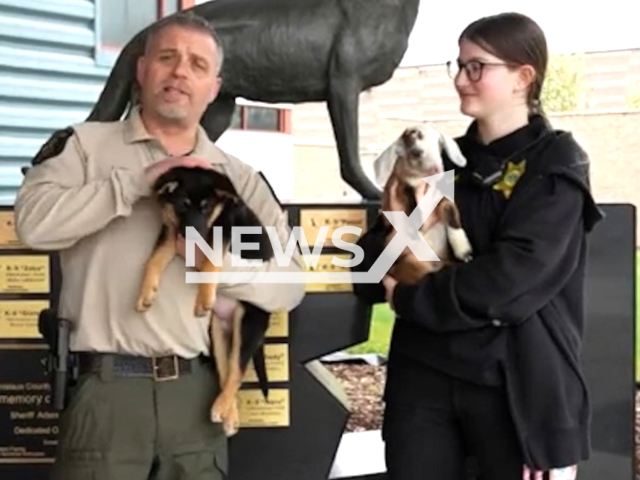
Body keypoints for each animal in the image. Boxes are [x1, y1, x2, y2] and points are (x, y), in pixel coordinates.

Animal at [135, 167, 272, 436]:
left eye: (206, 207)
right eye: (183, 204)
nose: (192, 235)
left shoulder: (226, 227)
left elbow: (210, 259)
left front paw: (204, 297)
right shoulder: (172, 231)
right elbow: (155, 259)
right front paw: (146, 293)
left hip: (248, 323)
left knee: (237, 371)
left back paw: (221, 408)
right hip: (217, 333)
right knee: (226, 370)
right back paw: (229, 415)